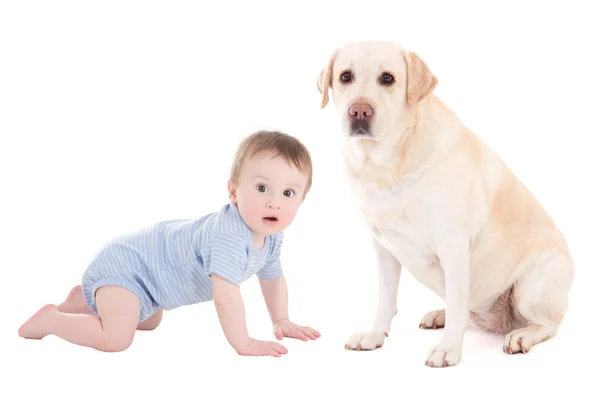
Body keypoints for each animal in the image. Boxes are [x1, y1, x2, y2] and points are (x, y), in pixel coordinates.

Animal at [316, 39, 576, 366]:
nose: (359, 111)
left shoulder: (453, 245)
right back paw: (440, 315)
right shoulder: (384, 248)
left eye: (387, 78)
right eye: (345, 77)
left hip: (531, 288)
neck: (389, 167)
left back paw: (521, 335)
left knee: (548, 324)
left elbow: (456, 302)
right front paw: (375, 335)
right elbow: (385, 299)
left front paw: (448, 349)